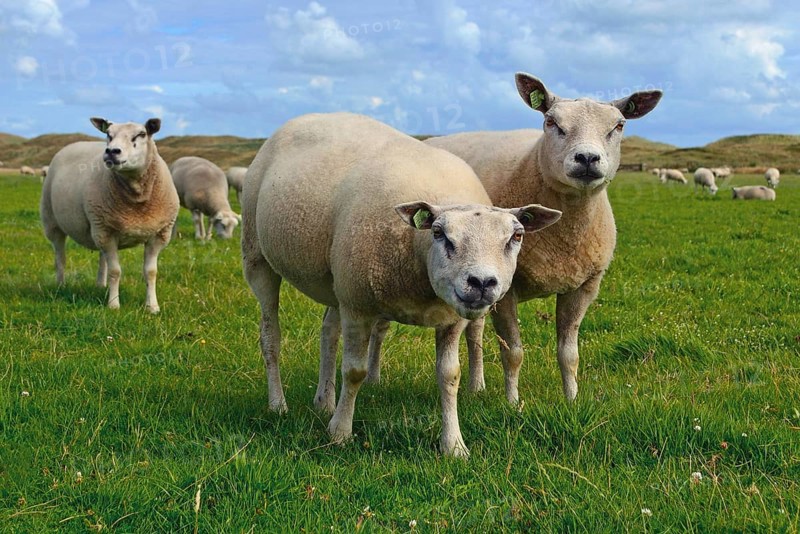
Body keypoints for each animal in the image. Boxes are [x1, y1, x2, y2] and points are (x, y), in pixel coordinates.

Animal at [40, 117, 179, 312]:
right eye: (108, 134)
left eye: (141, 134)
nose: (112, 151)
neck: (138, 202)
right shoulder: (106, 231)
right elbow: (115, 271)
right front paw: (113, 304)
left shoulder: (158, 234)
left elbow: (151, 272)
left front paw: (152, 306)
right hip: (54, 222)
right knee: (60, 257)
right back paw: (61, 285)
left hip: (100, 227)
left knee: (102, 258)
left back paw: (101, 285)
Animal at [241, 112, 562, 457]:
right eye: (439, 233)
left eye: (517, 236)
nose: (481, 282)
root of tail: (307, 117)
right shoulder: (358, 305)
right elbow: (354, 371)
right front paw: (340, 433)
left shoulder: (450, 318)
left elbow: (450, 376)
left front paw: (453, 444)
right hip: (257, 255)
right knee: (270, 335)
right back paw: (278, 404)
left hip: (336, 280)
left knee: (328, 333)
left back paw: (324, 402)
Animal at [362, 73, 661, 405]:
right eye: (551, 122)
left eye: (618, 126)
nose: (586, 158)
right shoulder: (508, 289)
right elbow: (513, 352)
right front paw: (512, 403)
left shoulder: (584, 286)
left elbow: (570, 354)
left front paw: (572, 400)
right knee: (381, 326)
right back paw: (373, 378)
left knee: (474, 331)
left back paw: (476, 384)